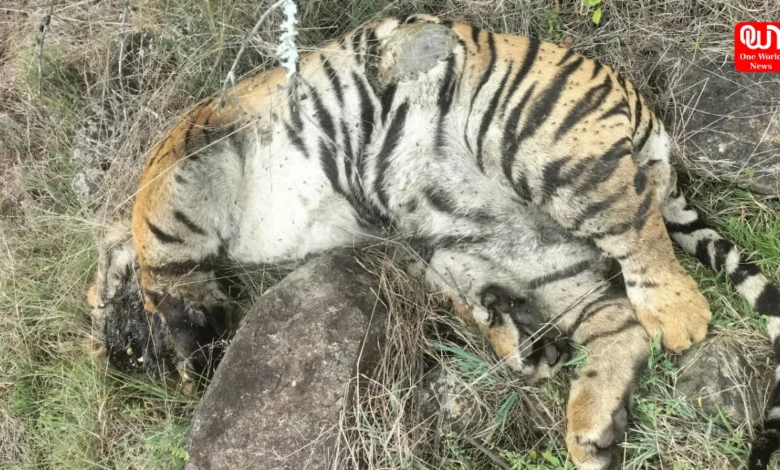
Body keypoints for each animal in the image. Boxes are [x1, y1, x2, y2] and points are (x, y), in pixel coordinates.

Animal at [86, 14, 780, 469]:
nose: (105, 357)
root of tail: (640, 103)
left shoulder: (186, 149)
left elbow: (153, 238)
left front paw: (176, 335)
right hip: (524, 250)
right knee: (615, 323)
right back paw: (584, 421)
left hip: (541, 142)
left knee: (638, 230)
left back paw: (678, 317)